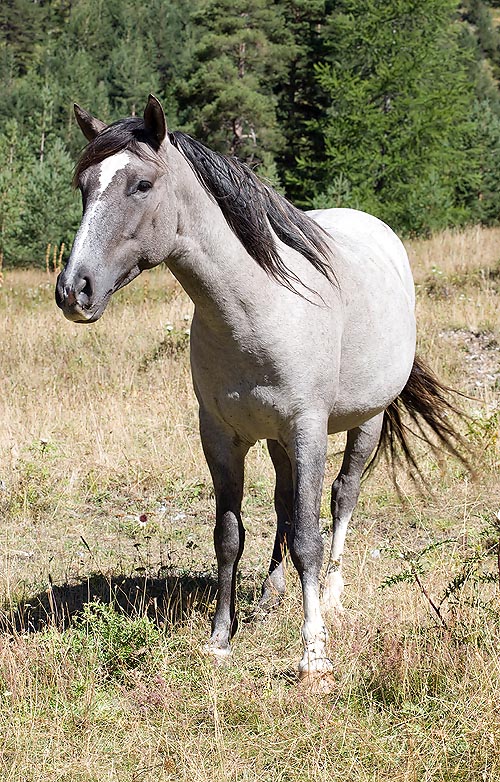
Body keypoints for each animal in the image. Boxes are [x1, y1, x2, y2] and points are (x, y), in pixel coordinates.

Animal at [56, 96, 466, 688]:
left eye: (141, 185)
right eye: (83, 185)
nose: (74, 290)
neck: (257, 308)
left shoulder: (307, 430)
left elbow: (309, 537)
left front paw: (314, 652)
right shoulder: (221, 436)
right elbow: (231, 535)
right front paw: (220, 639)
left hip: (364, 421)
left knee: (341, 496)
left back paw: (333, 595)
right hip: (274, 439)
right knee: (284, 505)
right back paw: (271, 596)